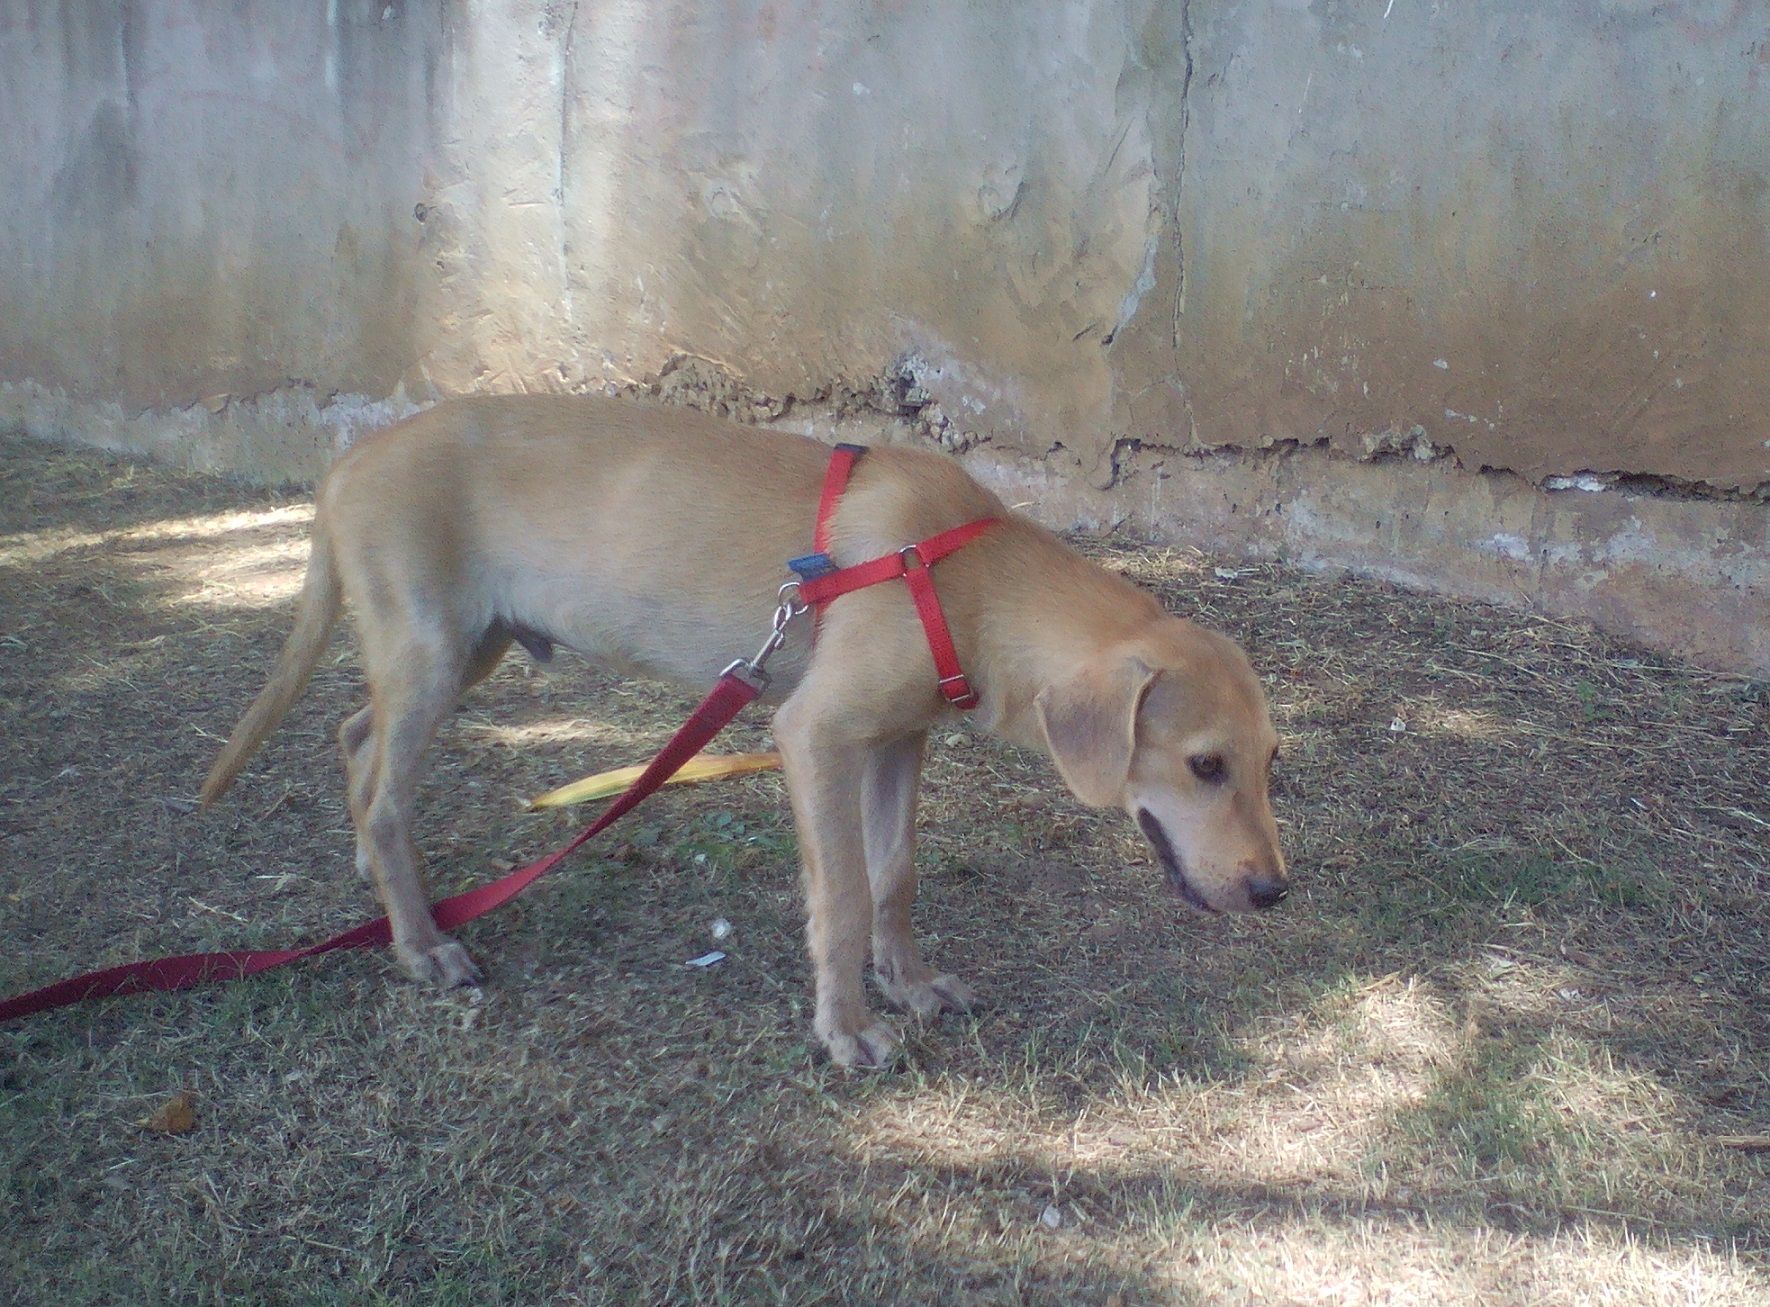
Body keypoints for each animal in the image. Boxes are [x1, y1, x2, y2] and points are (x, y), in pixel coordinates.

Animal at [201, 394, 1287, 1067]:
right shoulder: (816, 735)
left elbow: (894, 878)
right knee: (386, 788)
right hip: (431, 650)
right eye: (1204, 764)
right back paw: (422, 942)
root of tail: (347, 462)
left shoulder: (898, 742)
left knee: (356, 736)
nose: (1276, 892)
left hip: (469, 646)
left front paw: (909, 982)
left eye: (1270, 760)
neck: (964, 576)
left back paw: (380, 882)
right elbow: (842, 895)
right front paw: (847, 1028)